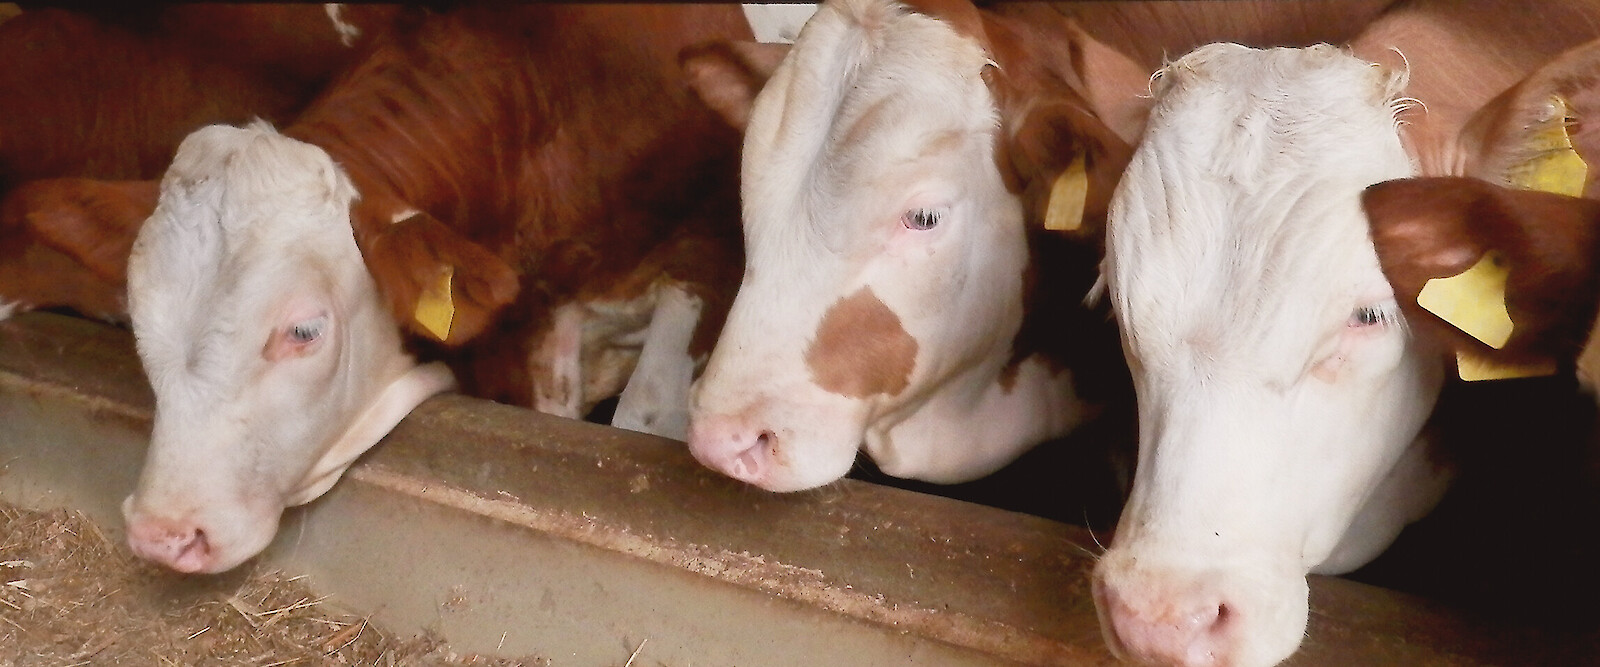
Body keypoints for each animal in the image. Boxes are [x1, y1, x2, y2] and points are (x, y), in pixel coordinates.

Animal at [120, 3, 756, 574]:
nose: (163, 532)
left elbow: (643, 412)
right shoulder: (525, 322)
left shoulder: (709, 259)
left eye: (304, 330)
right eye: (138, 323)